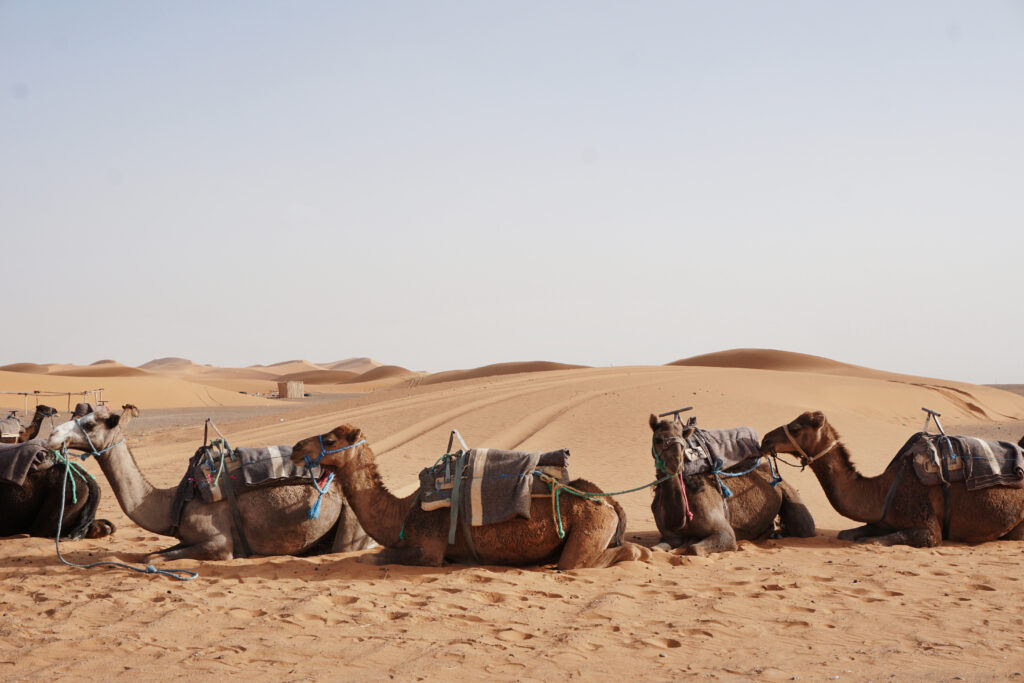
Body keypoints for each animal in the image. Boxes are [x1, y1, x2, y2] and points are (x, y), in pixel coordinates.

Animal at [46, 404, 374, 560]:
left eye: (89, 424)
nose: (52, 436)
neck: (173, 501)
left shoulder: (219, 543)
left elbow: (152, 557)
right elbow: (152, 552)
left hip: (350, 522)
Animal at [290, 424, 652, 568]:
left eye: (331, 440)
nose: (295, 447)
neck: (402, 512)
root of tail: (609, 501)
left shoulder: (429, 551)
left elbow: (375, 558)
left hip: (589, 528)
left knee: (617, 554)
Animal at [648, 414, 815, 555]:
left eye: (682, 443)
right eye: (658, 439)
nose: (676, 463)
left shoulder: (725, 533)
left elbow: (694, 549)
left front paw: (691, 542)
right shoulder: (670, 536)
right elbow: (654, 548)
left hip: (788, 492)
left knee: (805, 528)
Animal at [760, 411, 1024, 547]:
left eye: (796, 428)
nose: (765, 439)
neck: (884, 489)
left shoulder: (929, 529)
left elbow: (873, 542)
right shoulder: (880, 519)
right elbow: (846, 534)